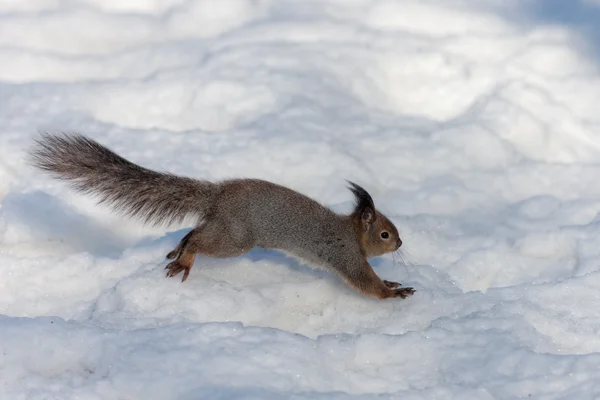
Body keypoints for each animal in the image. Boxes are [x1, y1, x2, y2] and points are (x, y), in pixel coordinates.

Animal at [30, 134, 414, 300]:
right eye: (384, 234)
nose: (400, 242)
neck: (352, 232)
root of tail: (217, 195)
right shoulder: (345, 255)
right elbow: (365, 282)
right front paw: (393, 292)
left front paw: (391, 282)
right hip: (236, 238)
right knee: (200, 239)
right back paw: (185, 258)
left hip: (224, 228)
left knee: (193, 233)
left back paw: (178, 253)